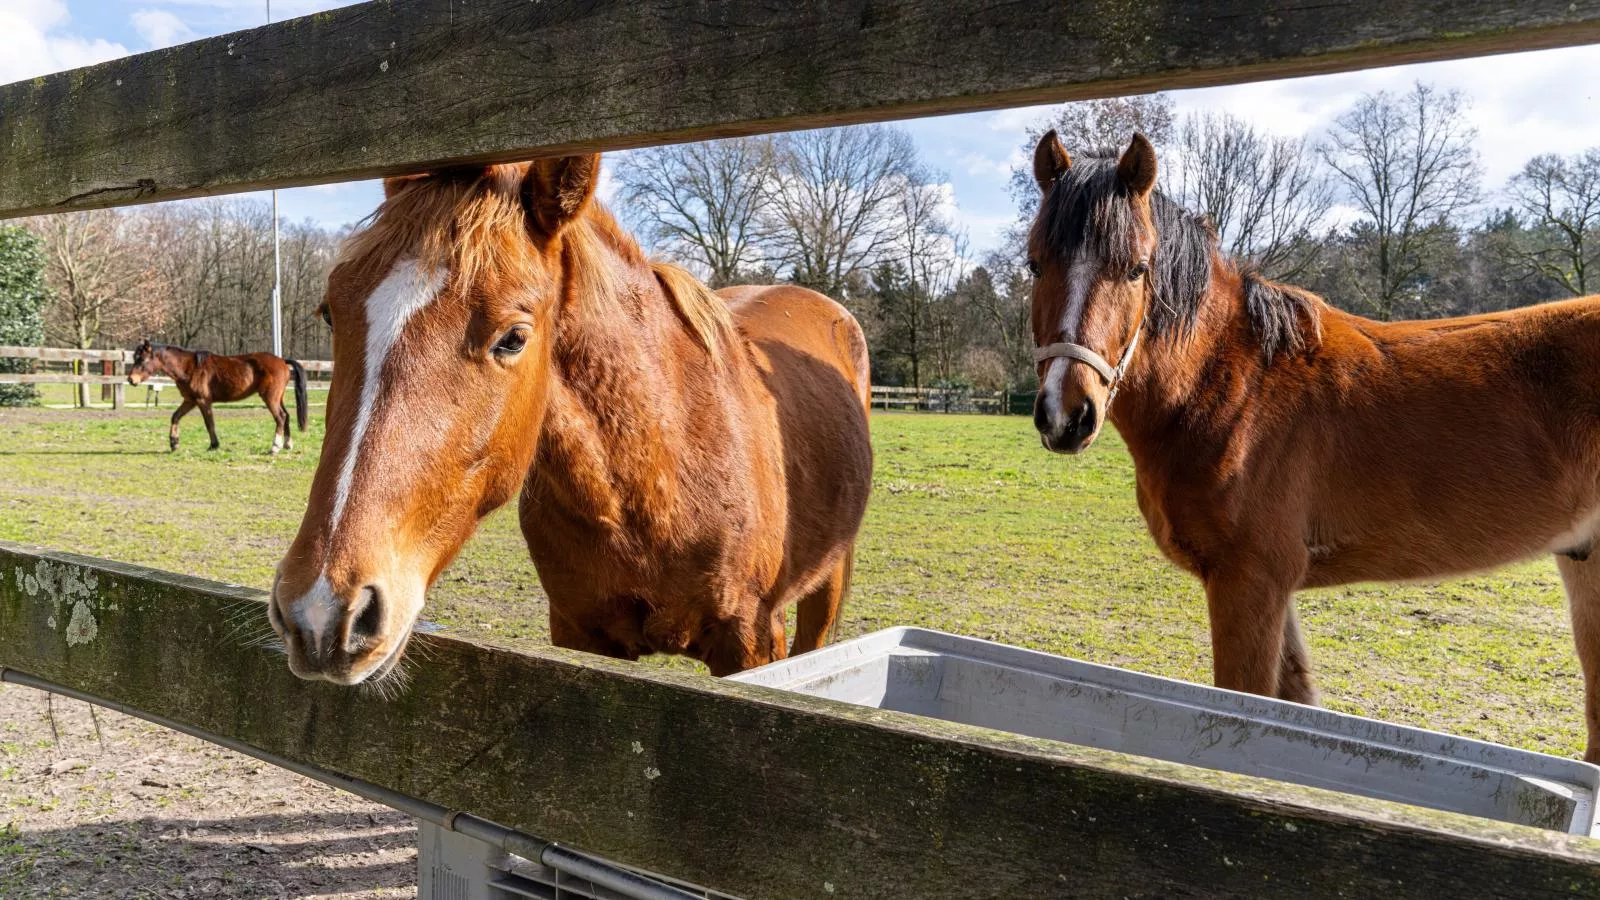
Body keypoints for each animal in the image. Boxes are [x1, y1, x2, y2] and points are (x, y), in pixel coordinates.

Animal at [126, 341, 307, 454]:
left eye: (142, 359)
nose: (131, 380)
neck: (190, 368)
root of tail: (282, 361)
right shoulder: (190, 400)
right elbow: (175, 417)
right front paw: (174, 443)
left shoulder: (203, 401)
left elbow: (209, 424)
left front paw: (214, 445)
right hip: (278, 398)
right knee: (287, 416)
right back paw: (287, 444)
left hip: (270, 398)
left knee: (280, 417)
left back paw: (275, 447)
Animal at [272, 157, 876, 682]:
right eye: (330, 312)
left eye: (513, 338)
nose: (322, 610)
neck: (661, 475)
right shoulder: (580, 635)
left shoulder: (750, 639)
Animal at [1024, 128, 1600, 755]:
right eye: (1034, 264)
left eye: (1137, 269)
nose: (1066, 414)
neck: (1231, 387)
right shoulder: (1273, 589)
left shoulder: (1250, 581)